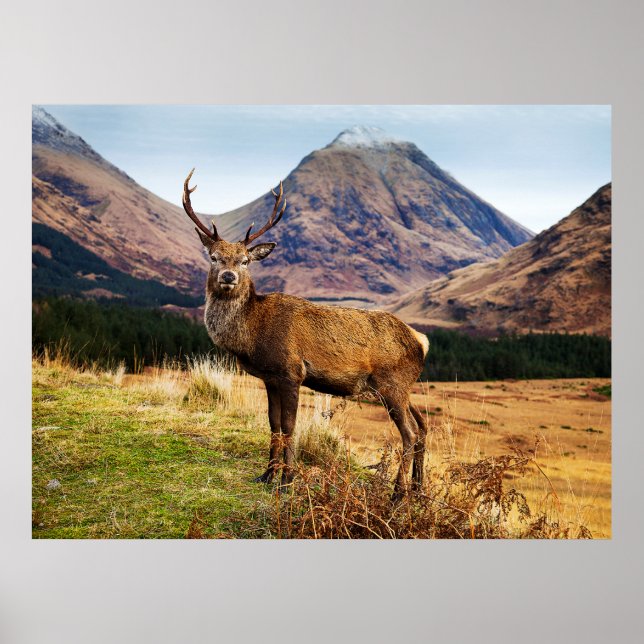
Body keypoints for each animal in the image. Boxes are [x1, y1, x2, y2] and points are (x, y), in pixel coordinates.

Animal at [181, 169, 430, 500]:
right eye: (213, 256)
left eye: (245, 260)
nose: (228, 277)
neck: (253, 335)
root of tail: (421, 341)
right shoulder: (270, 378)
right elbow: (273, 425)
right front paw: (266, 475)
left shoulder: (291, 372)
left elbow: (289, 426)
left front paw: (287, 481)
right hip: (402, 387)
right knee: (423, 424)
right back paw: (417, 489)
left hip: (392, 383)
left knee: (410, 432)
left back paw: (397, 495)